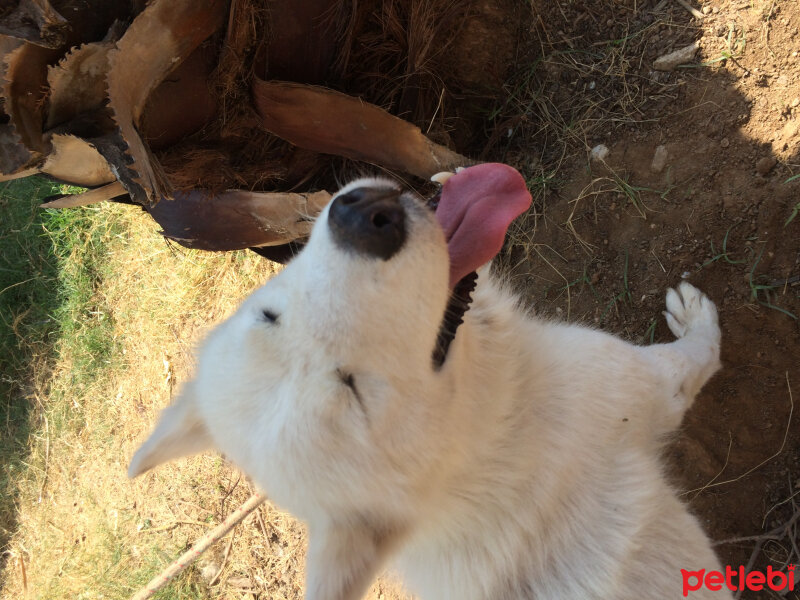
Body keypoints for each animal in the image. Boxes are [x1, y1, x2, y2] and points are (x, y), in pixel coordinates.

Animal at [130, 162, 732, 596]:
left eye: (268, 316)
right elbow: (702, 351)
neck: (490, 443)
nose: (363, 219)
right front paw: (696, 317)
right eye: (356, 393)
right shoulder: (649, 383)